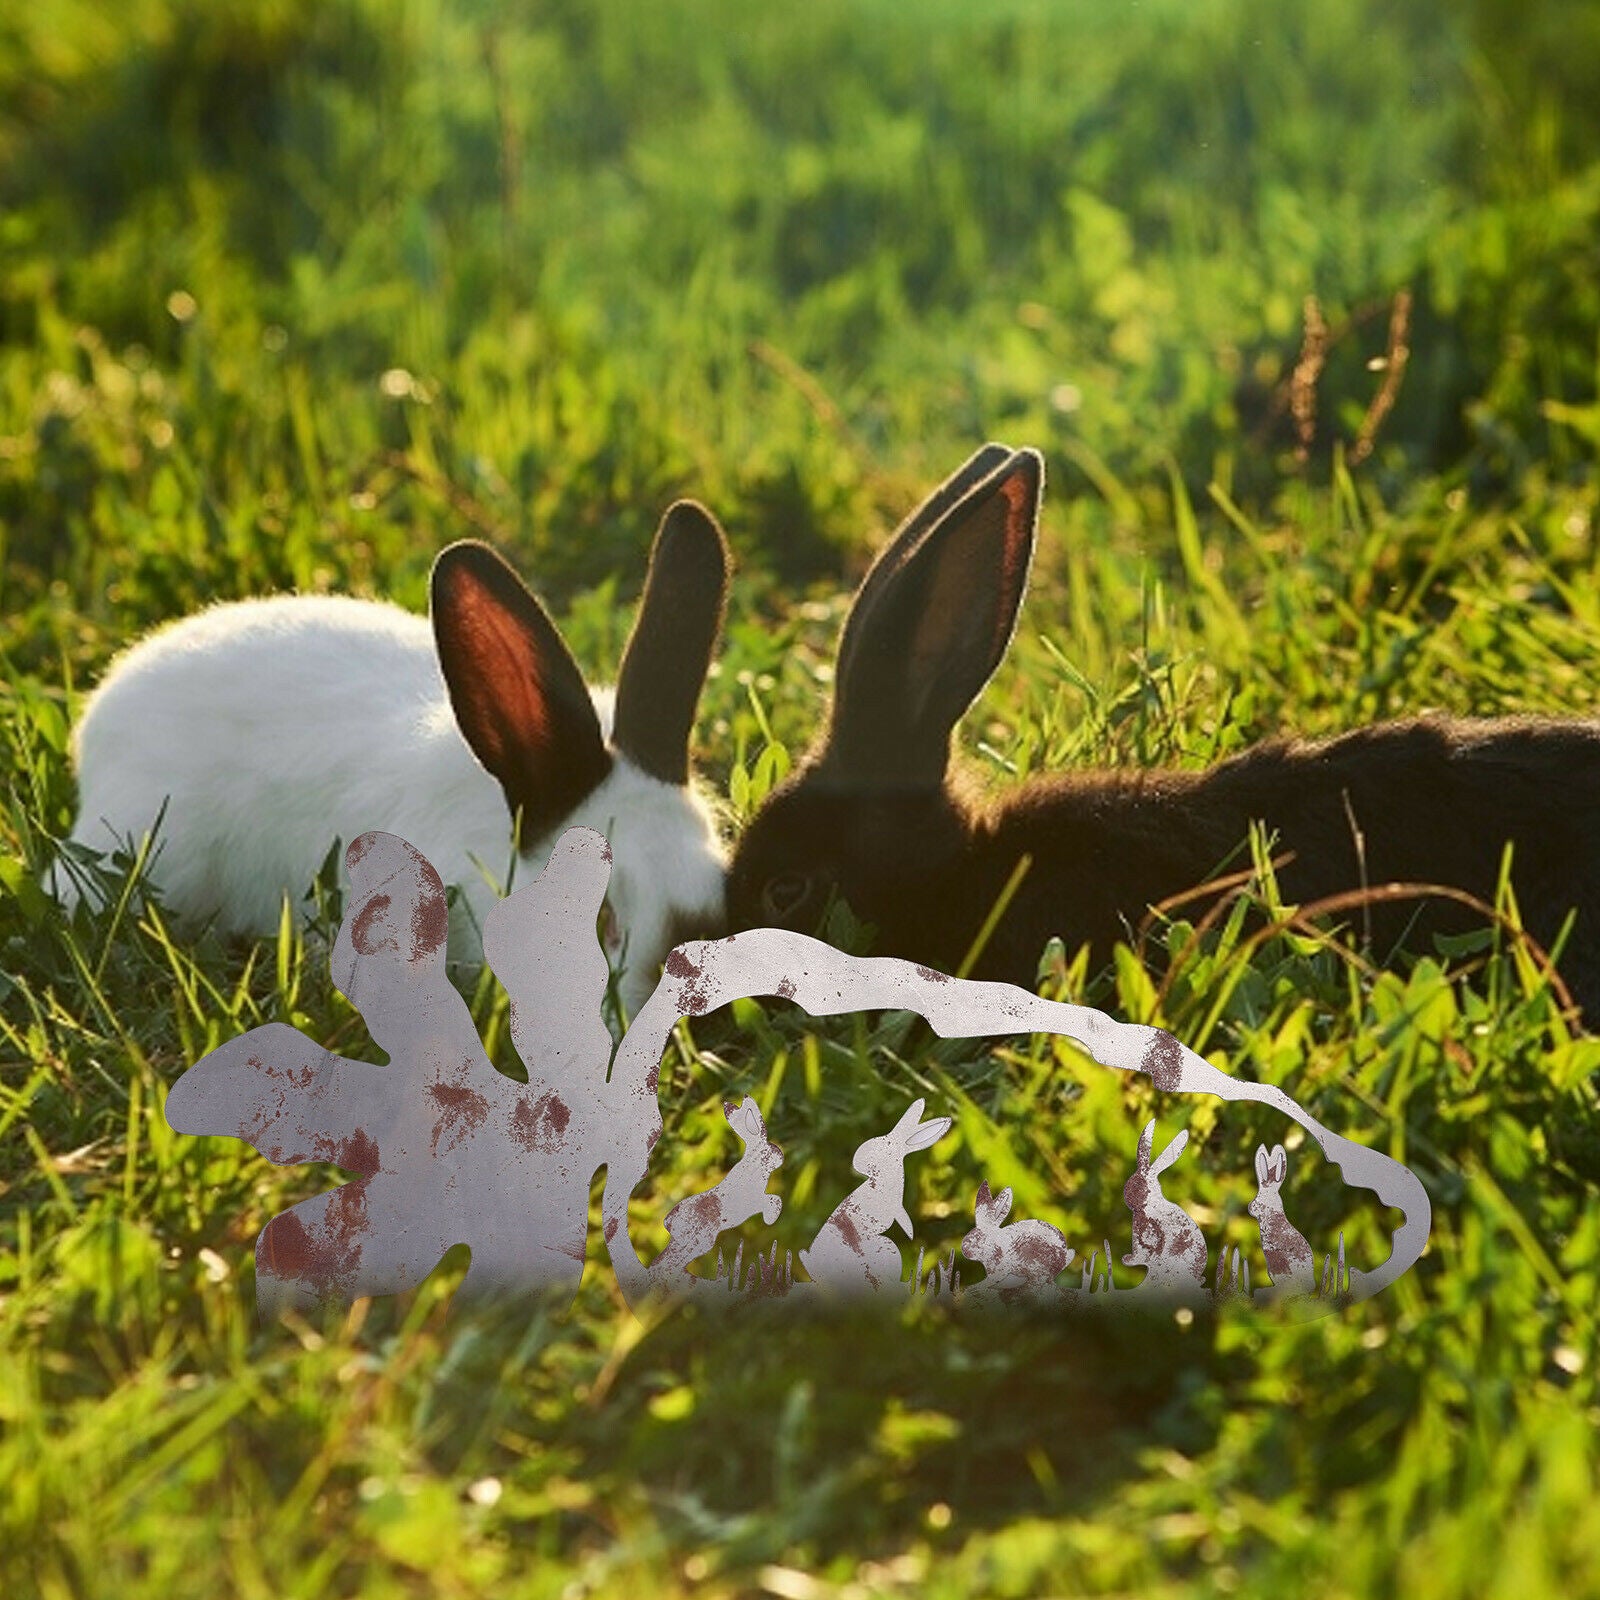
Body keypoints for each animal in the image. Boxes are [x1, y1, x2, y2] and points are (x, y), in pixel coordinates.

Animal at [649, 1096, 784, 1286]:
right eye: (771, 1150)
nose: (780, 1157)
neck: (755, 1164)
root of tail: (668, 1221)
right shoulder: (752, 1200)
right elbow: (773, 1199)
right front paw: (771, 1217)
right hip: (699, 1240)